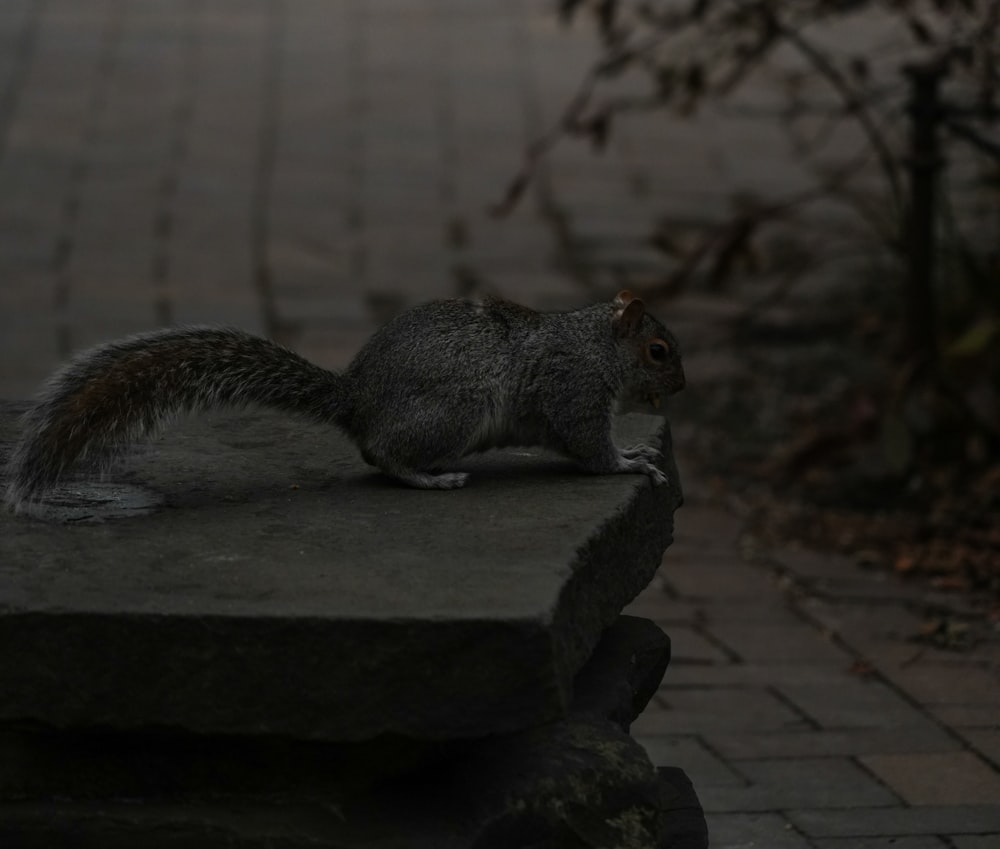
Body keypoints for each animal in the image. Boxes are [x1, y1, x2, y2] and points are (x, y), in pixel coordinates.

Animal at [1, 290, 688, 510]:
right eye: (659, 351)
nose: (683, 388)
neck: (596, 344)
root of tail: (356, 399)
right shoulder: (574, 390)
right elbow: (590, 448)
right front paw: (631, 462)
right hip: (454, 411)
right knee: (383, 455)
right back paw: (428, 477)